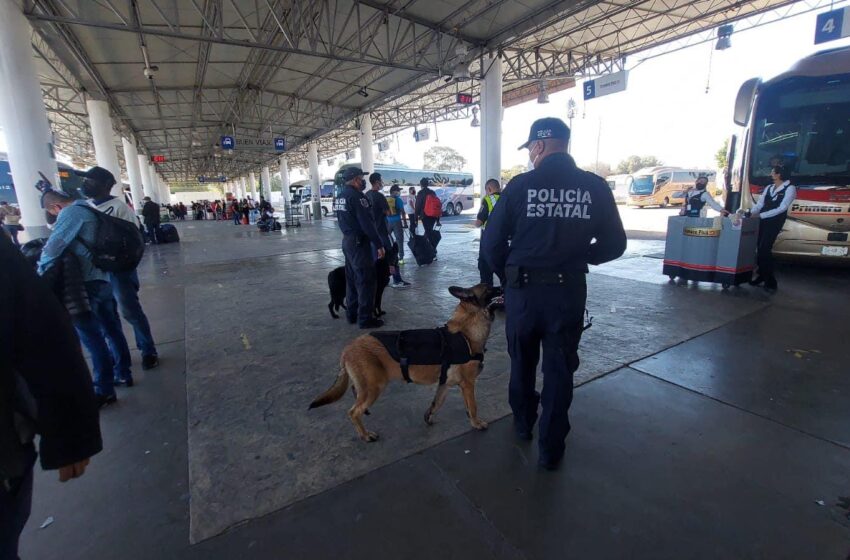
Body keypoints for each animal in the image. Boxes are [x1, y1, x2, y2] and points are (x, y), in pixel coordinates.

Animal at [310, 284, 496, 442]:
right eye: (489, 289)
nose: (501, 287)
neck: (466, 334)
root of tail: (347, 349)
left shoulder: (444, 384)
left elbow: (436, 403)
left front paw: (429, 416)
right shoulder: (468, 384)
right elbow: (473, 406)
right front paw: (476, 423)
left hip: (367, 386)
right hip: (374, 388)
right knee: (353, 412)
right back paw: (365, 435)